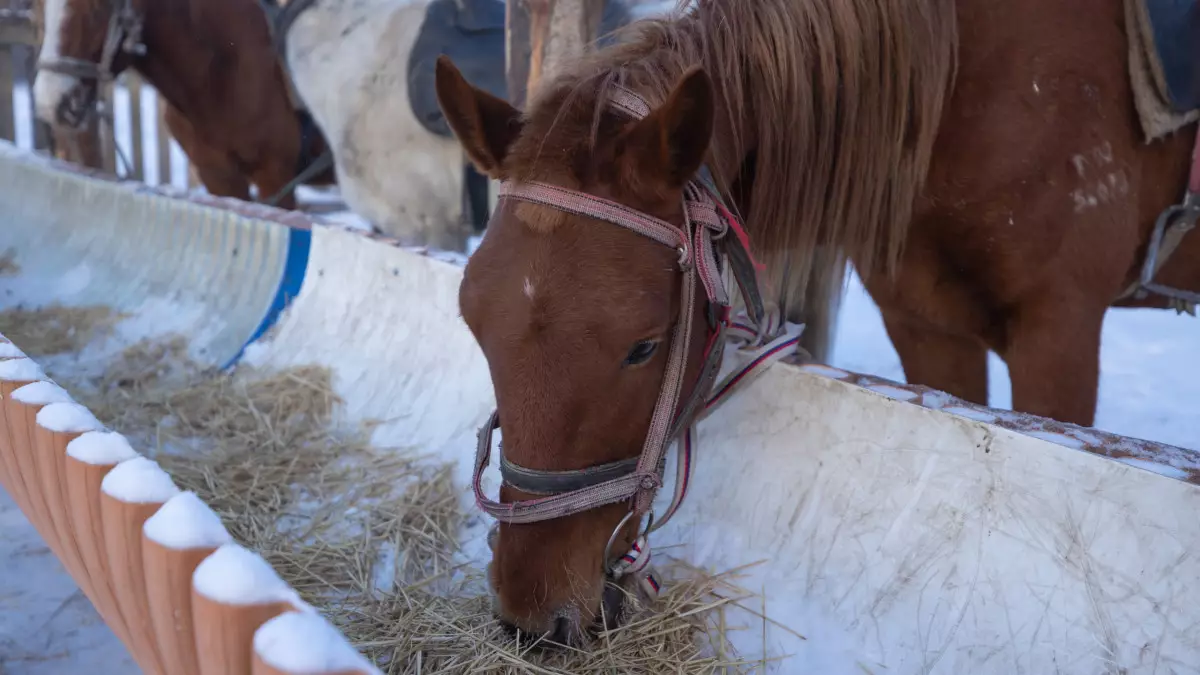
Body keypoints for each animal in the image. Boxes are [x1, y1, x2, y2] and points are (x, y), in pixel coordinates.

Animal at [436, 0, 1200, 638]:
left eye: (643, 346)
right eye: (473, 323)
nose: (530, 612)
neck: (967, 89)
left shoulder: (1058, 333)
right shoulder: (927, 326)